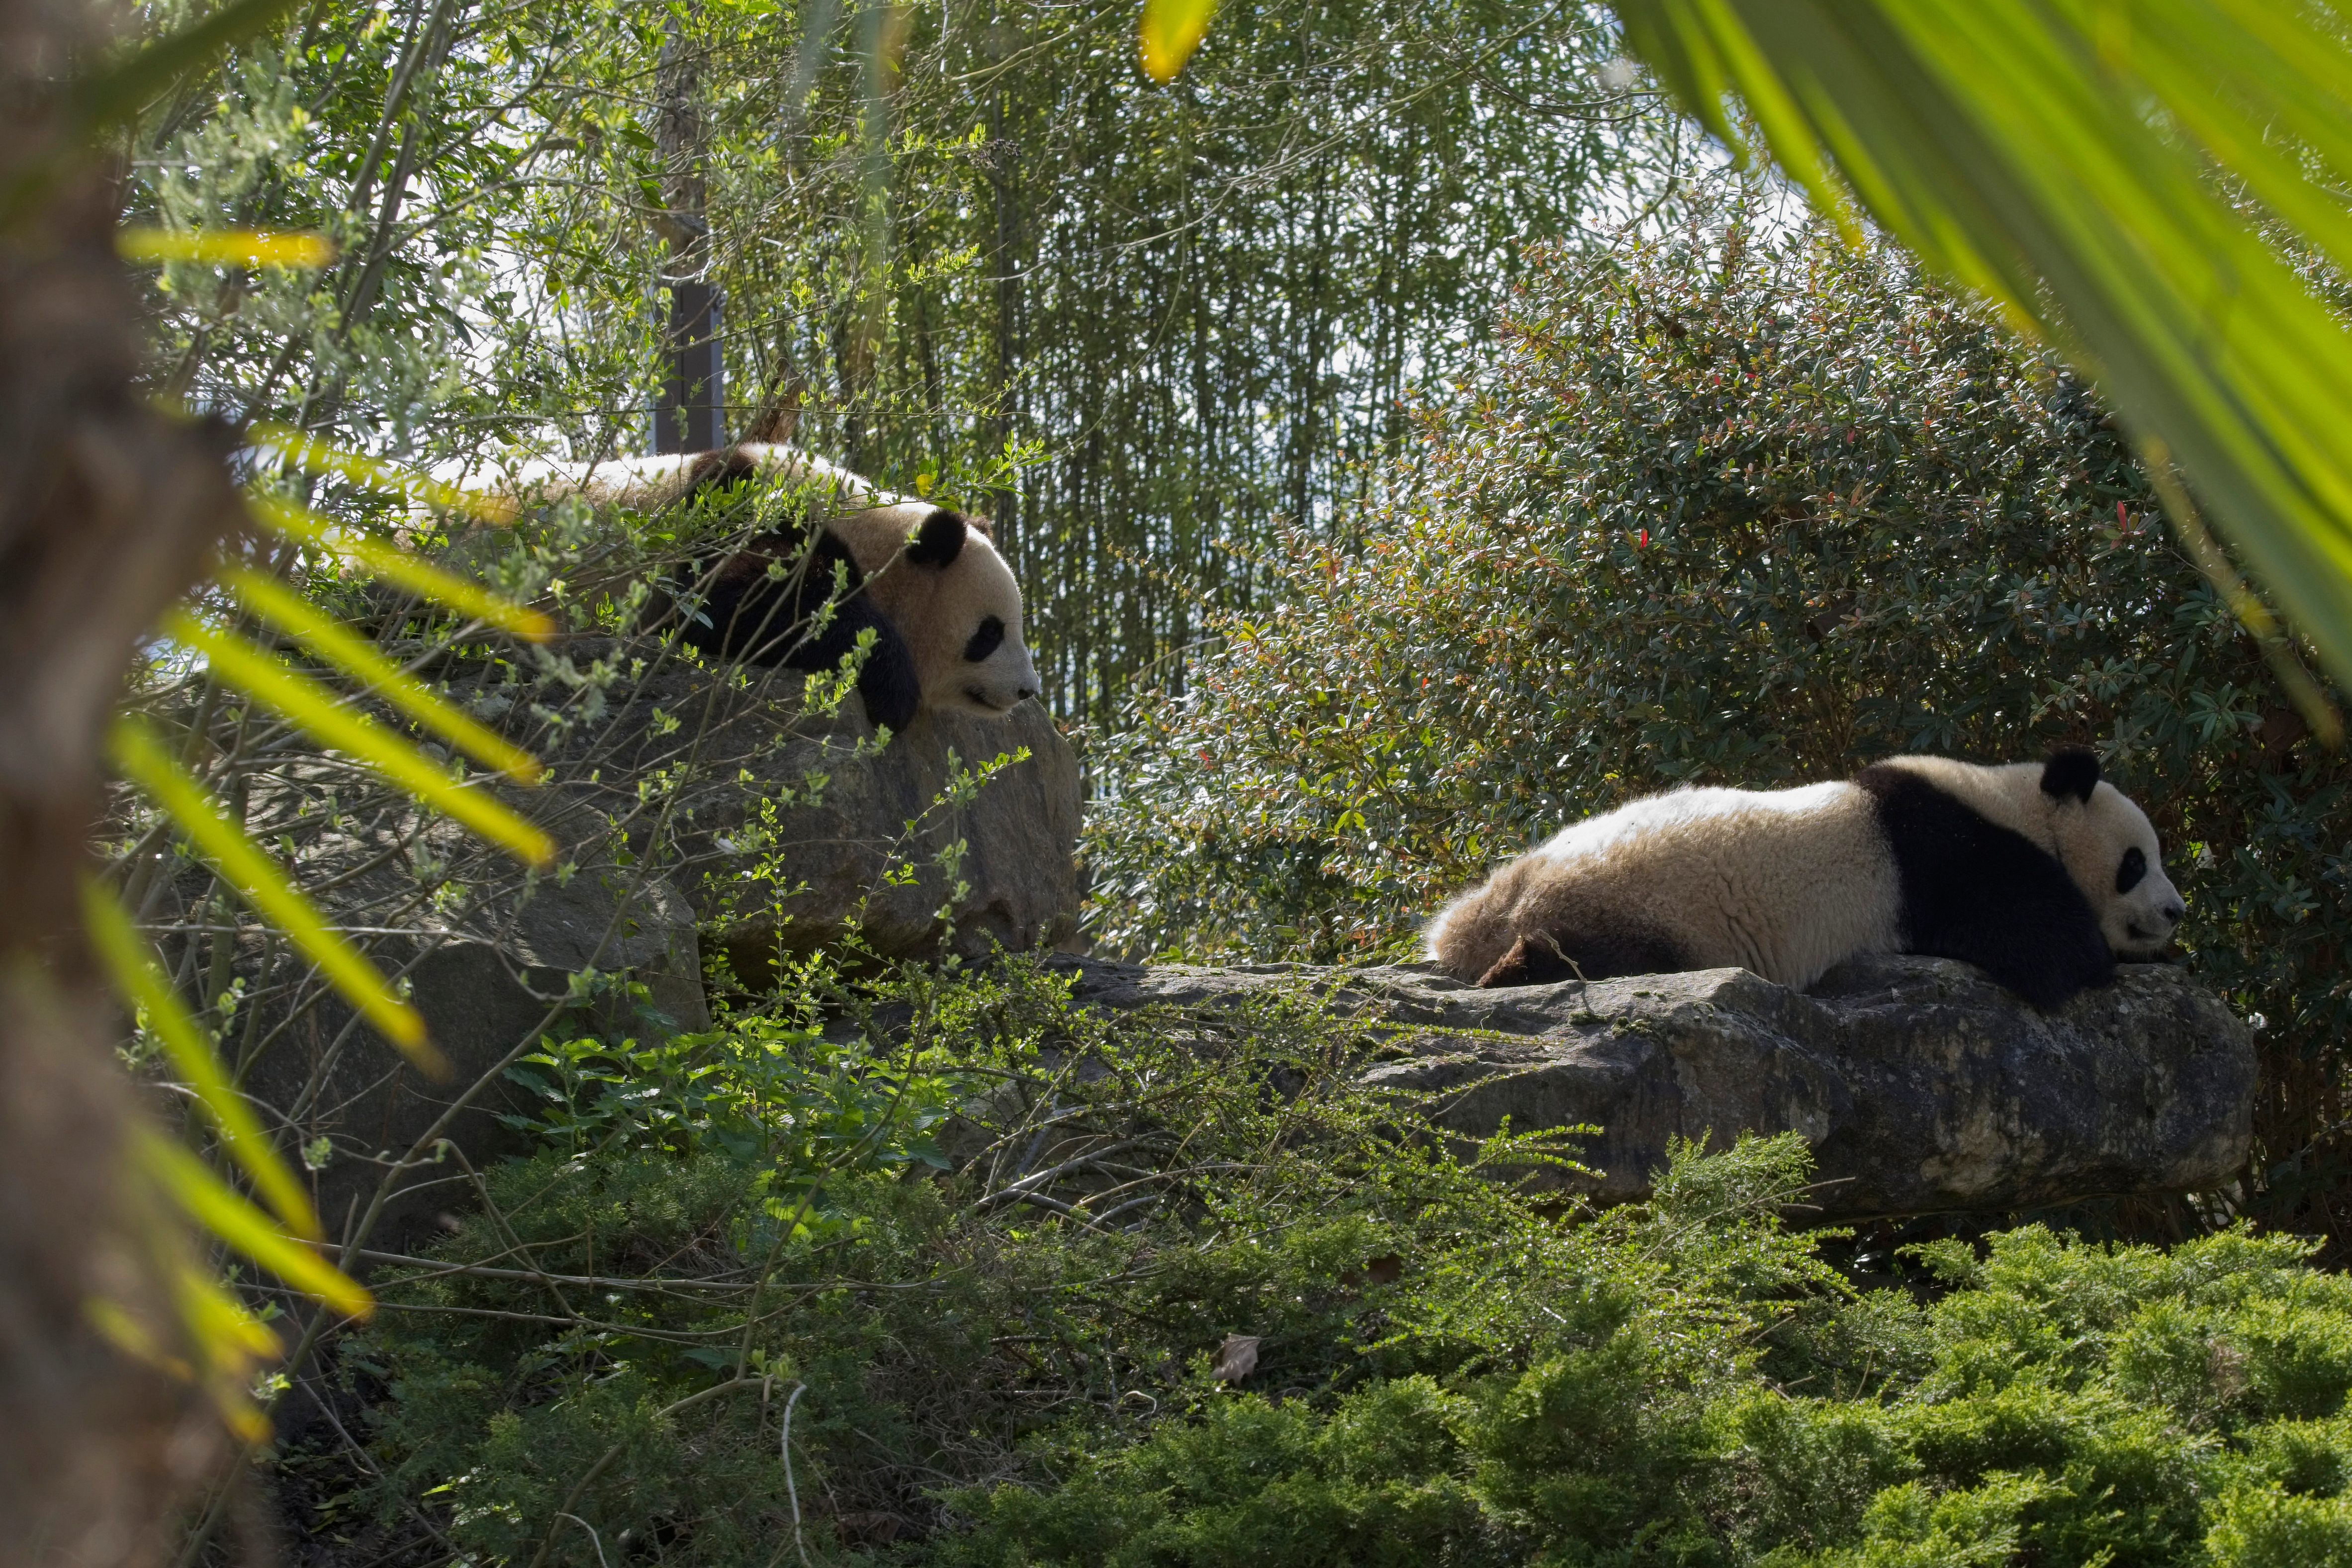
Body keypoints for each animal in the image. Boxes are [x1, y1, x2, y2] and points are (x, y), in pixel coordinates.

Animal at [1424, 750, 2186, 1008]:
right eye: (2135, 863)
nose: (2175, 911)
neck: (2021, 803)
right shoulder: (1954, 856)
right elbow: (2049, 952)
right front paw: (2110, 956)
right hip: (1637, 906)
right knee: (1595, 954)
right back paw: (1514, 971)